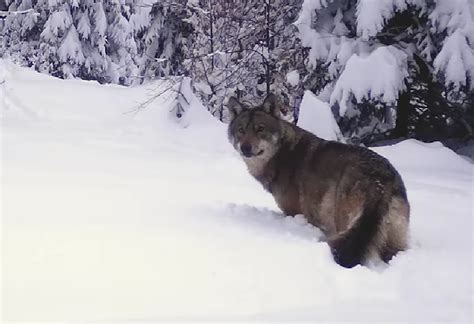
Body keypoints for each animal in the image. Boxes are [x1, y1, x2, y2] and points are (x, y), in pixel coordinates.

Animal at [228, 93, 410, 268]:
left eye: (260, 129)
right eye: (241, 130)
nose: (245, 148)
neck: (281, 154)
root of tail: (381, 182)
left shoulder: (294, 213)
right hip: (392, 242)